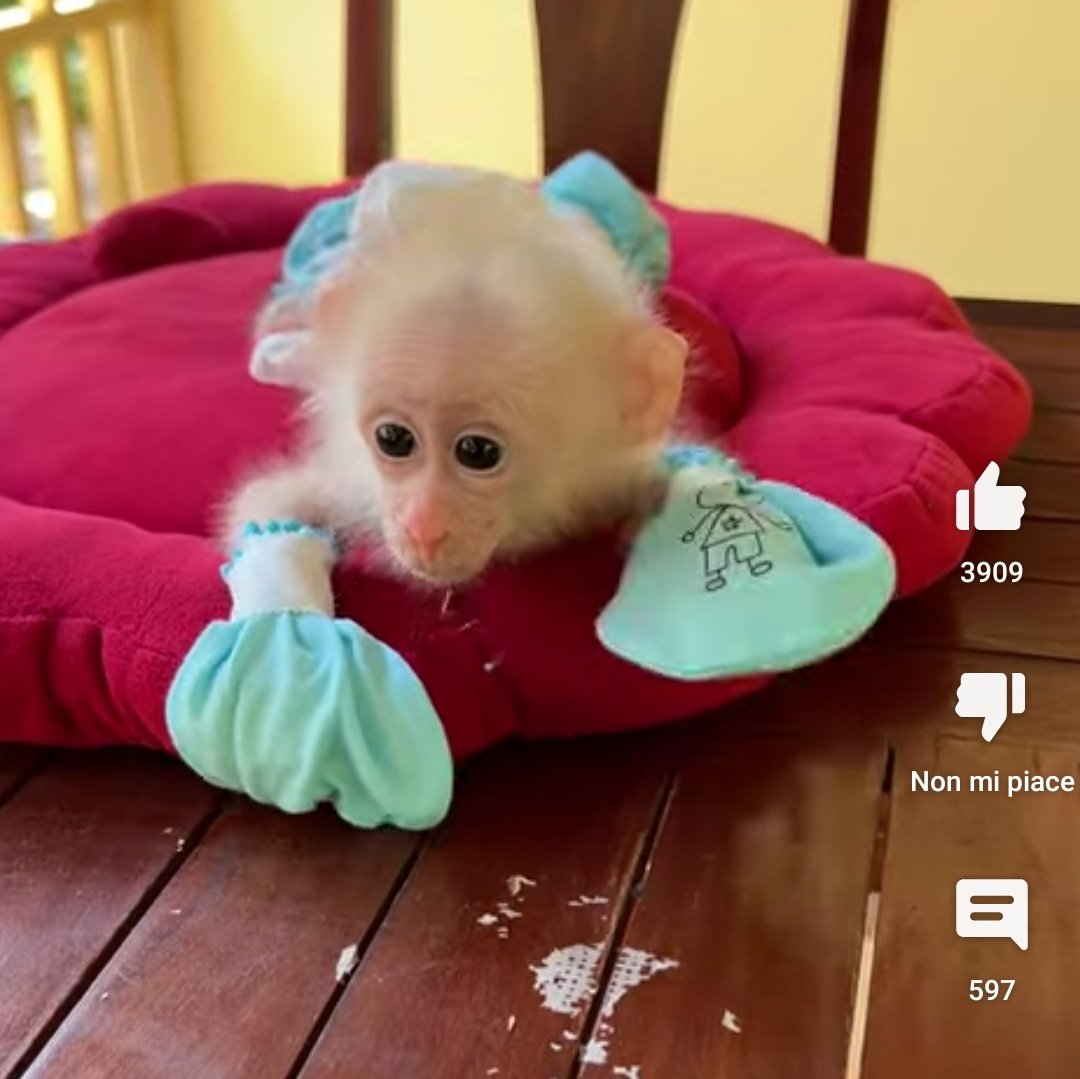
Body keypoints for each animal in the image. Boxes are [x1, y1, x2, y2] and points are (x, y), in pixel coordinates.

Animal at [217, 162, 689, 589]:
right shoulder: (351, 483)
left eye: (477, 451)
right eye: (394, 438)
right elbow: (264, 512)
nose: (423, 528)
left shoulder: (609, 473)